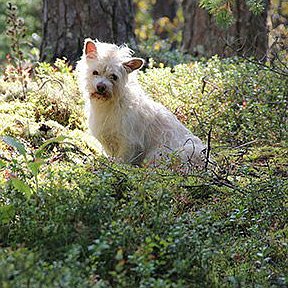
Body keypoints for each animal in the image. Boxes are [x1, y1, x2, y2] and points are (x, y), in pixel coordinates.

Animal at [76, 37, 207, 169]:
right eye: (95, 72)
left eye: (114, 76)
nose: (101, 87)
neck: (110, 103)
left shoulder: (129, 143)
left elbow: (121, 160)